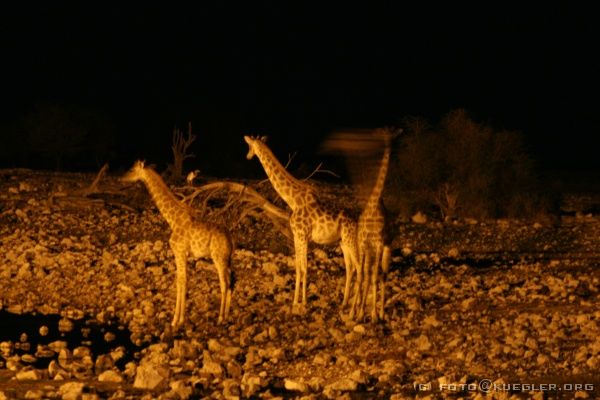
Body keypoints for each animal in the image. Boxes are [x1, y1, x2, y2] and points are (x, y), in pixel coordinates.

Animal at [122, 161, 234, 326]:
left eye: (131, 169)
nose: (121, 178)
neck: (172, 219)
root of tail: (230, 239)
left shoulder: (179, 251)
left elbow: (180, 281)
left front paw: (175, 320)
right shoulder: (184, 254)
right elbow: (184, 281)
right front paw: (180, 318)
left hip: (219, 258)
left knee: (224, 284)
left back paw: (220, 318)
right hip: (228, 259)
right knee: (231, 281)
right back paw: (226, 316)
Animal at [243, 136, 358, 310]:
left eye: (250, 145)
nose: (247, 156)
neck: (293, 200)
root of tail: (358, 222)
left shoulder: (303, 236)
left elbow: (304, 268)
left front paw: (303, 302)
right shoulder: (297, 237)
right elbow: (298, 267)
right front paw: (295, 301)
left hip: (351, 241)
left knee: (361, 267)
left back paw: (357, 307)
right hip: (343, 242)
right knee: (351, 268)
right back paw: (344, 303)